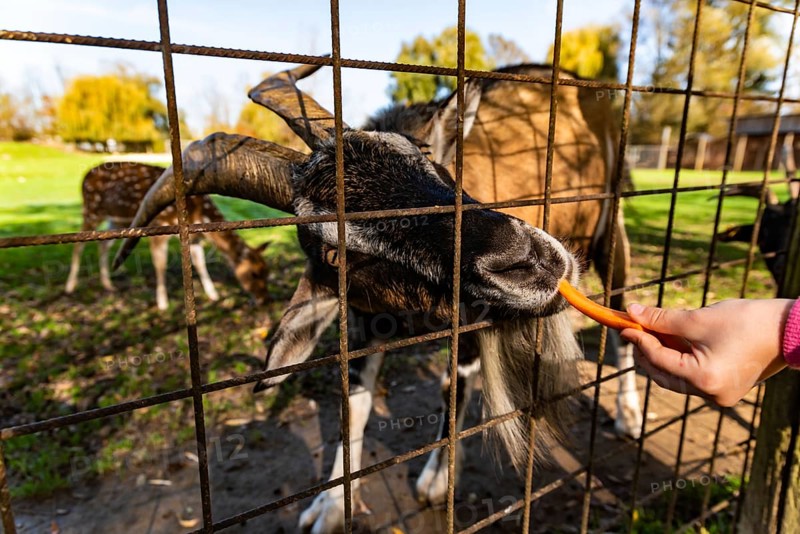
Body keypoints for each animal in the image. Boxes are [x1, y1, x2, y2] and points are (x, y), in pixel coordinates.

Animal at [66, 162, 270, 310]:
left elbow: (200, 263)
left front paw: (213, 294)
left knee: (103, 245)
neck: (199, 213)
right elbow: (161, 265)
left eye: (267, 272)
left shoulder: (194, 238)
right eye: (254, 274)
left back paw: (108, 284)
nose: (263, 300)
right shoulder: (159, 227)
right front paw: (163, 303)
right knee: (78, 244)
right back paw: (70, 286)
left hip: (116, 220)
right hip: (92, 210)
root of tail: (84, 177)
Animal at [113, 62, 638, 533]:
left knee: (622, 303)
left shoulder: (470, 318)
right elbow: (355, 403)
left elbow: (452, 384)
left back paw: (631, 416)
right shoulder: (365, 317)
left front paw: (435, 480)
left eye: (426, 157)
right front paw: (329, 507)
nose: (530, 261)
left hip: (609, 224)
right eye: (333, 252)